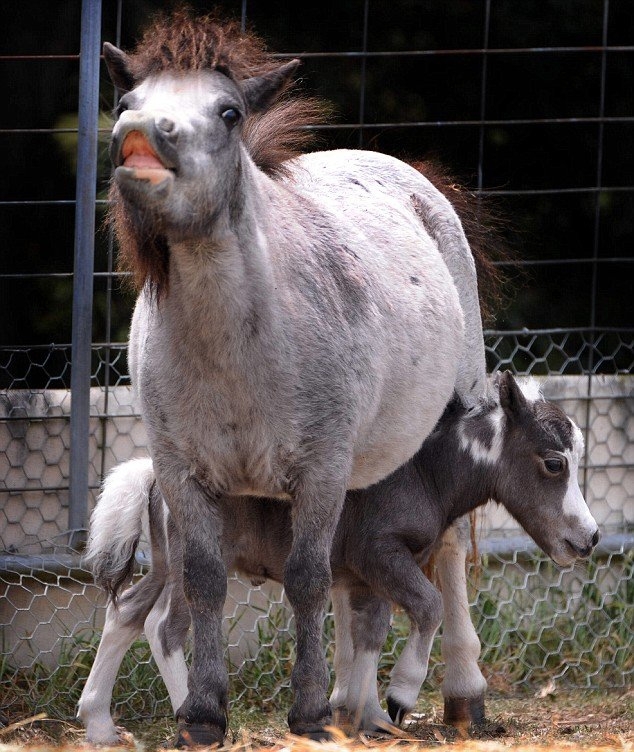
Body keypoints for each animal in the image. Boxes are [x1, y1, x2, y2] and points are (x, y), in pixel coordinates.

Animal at [79, 374, 596, 744]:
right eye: (554, 463)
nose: (587, 538)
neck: (422, 470)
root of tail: (152, 473)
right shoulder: (382, 553)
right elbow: (428, 607)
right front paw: (399, 697)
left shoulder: (369, 575)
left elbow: (370, 634)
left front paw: (365, 720)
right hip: (200, 557)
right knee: (165, 627)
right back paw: (192, 714)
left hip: (166, 564)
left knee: (128, 612)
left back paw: (100, 725)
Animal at [103, 10, 492, 740]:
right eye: (124, 103)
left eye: (228, 112)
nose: (140, 134)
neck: (236, 345)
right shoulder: (183, 473)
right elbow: (206, 581)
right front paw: (205, 714)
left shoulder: (320, 468)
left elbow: (306, 577)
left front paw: (307, 711)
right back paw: (358, 707)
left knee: (451, 553)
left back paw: (461, 692)